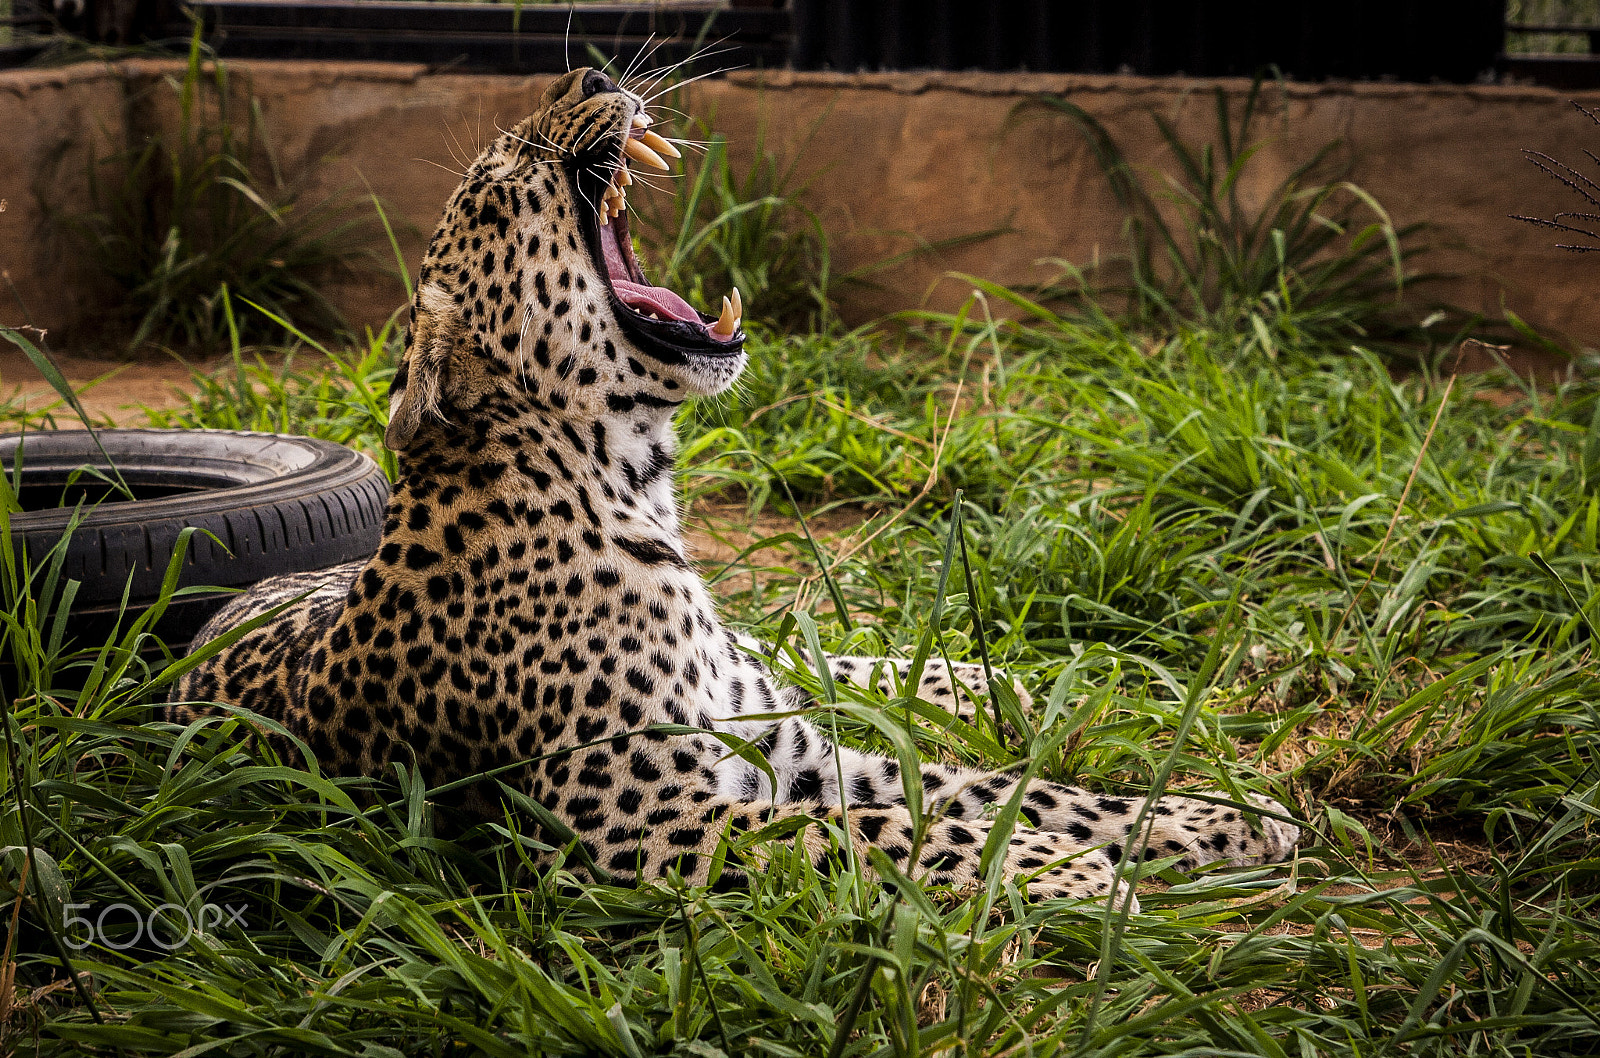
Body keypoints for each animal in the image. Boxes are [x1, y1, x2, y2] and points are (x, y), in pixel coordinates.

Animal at [171, 67, 1300, 904]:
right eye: (495, 187)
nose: (589, 74)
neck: (631, 479)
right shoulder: (639, 825)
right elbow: (888, 826)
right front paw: (1071, 870)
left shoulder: (784, 748)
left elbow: (1003, 789)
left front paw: (1225, 819)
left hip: (764, 692)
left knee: (826, 661)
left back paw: (1005, 686)